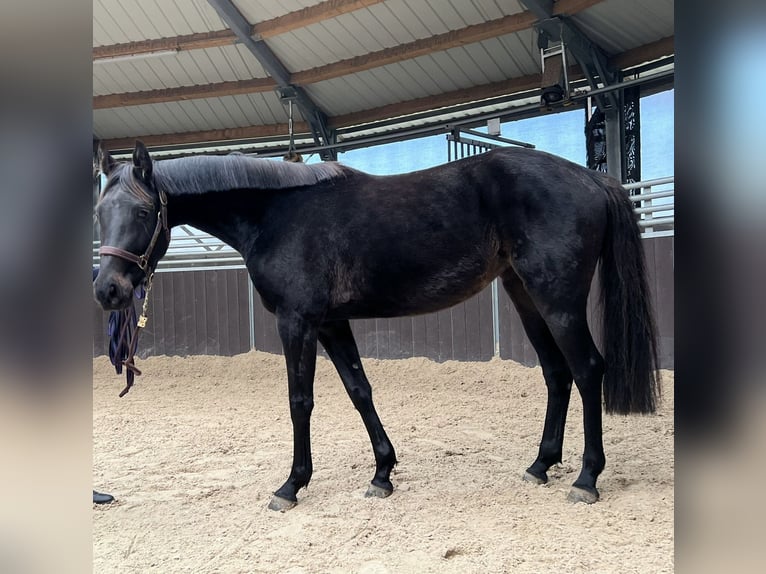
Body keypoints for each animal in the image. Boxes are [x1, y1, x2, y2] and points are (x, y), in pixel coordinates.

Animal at [94, 142, 660, 510]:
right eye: (101, 211)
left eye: (143, 212)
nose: (108, 290)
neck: (275, 214)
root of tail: (593, 178)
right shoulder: (331, 322)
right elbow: (359, 390)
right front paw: (383, 473)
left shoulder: (297, 322)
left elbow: (300, 401)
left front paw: (291, 486)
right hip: (525, 296)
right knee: (556, 374)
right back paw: (541, 465)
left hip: (557, 299)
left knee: (587, 370)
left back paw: (586, 478)